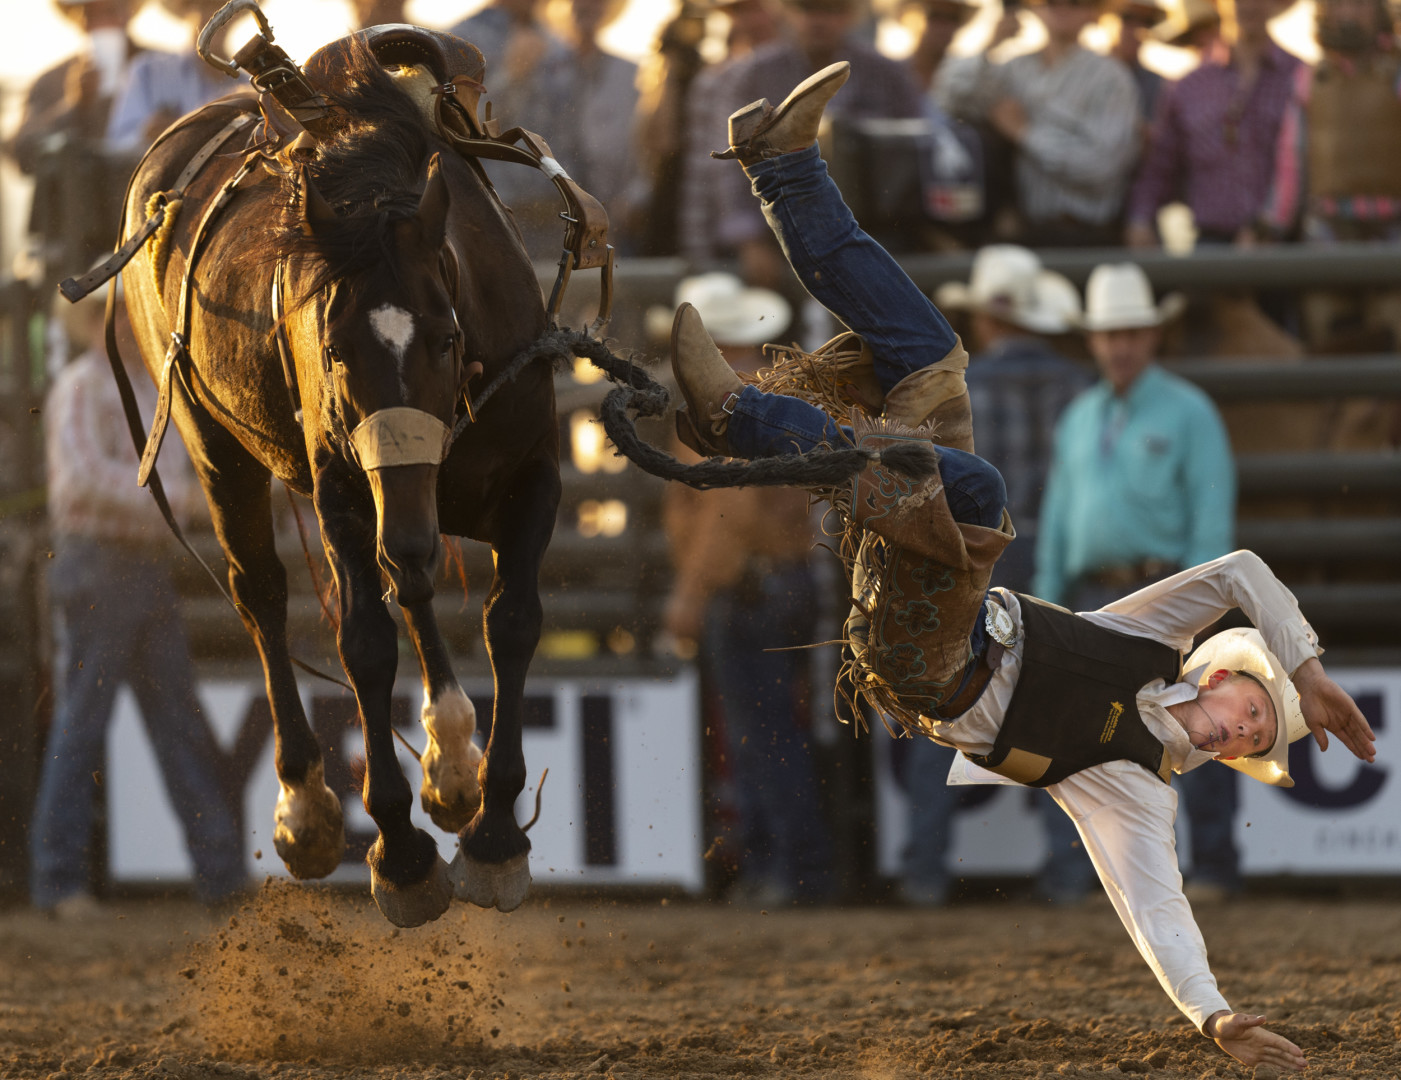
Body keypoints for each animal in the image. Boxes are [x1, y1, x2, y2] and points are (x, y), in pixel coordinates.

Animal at [119, 31, 559, 927]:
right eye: (333, 348)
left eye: (445, 335)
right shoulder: (347, 497)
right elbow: (364, 643)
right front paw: (400, 855)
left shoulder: (535, 474)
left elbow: (512, 622)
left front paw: (494, 835)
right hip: (216, 447)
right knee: (263, 593)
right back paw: (307, 808)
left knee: (412, 583)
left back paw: (450, 758)